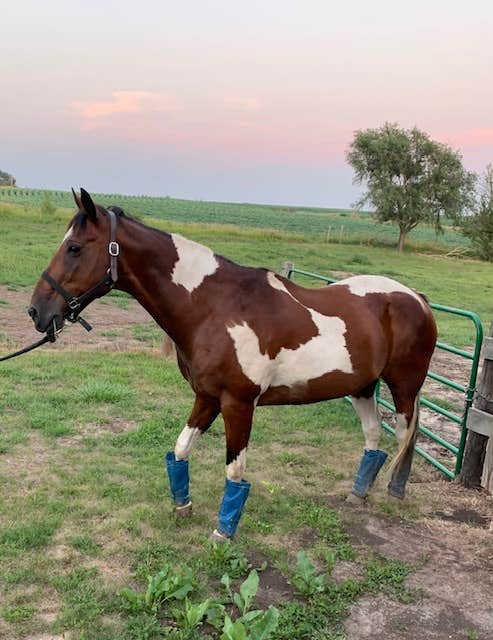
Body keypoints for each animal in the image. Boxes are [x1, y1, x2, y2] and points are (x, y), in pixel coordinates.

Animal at [29, 189, 437, 540]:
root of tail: (417, 297)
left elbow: (234, 471)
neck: (214, 308)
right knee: (374, 436)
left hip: (404, 388)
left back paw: (393, 492)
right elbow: (180, 450)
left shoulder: (238, 404)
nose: (37, 311)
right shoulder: (206, 397)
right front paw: (182, 506)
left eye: (75, 248)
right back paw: (358, 493)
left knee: (406, 436)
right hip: (362, 387)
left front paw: (223, 533)